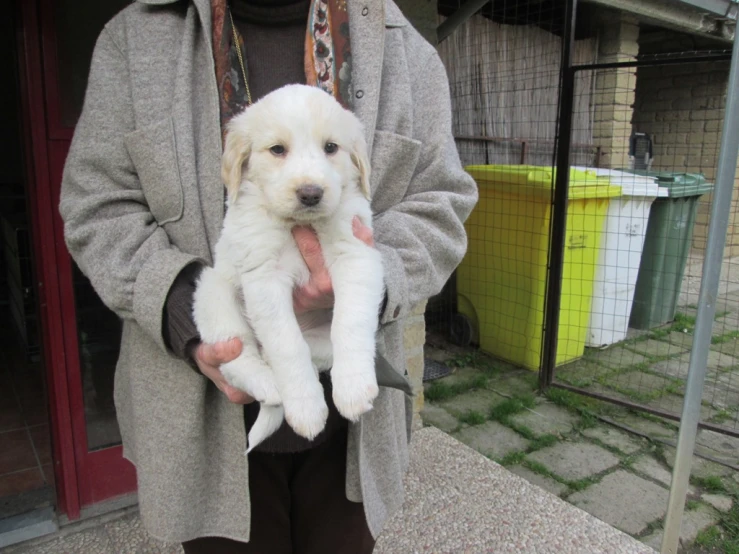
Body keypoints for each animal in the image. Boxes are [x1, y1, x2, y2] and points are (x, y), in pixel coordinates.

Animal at [194, 84, 384, 450]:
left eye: (331, 148)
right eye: (277, 150)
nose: (310, 193)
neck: (299, 224)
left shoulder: (355, 255)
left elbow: (350, 323)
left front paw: (353, 388)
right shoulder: (264, 277)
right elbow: (287, 345)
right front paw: (306, 410)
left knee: (307, 351)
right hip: (213, 290)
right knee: (241, 356)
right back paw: (269, 385)